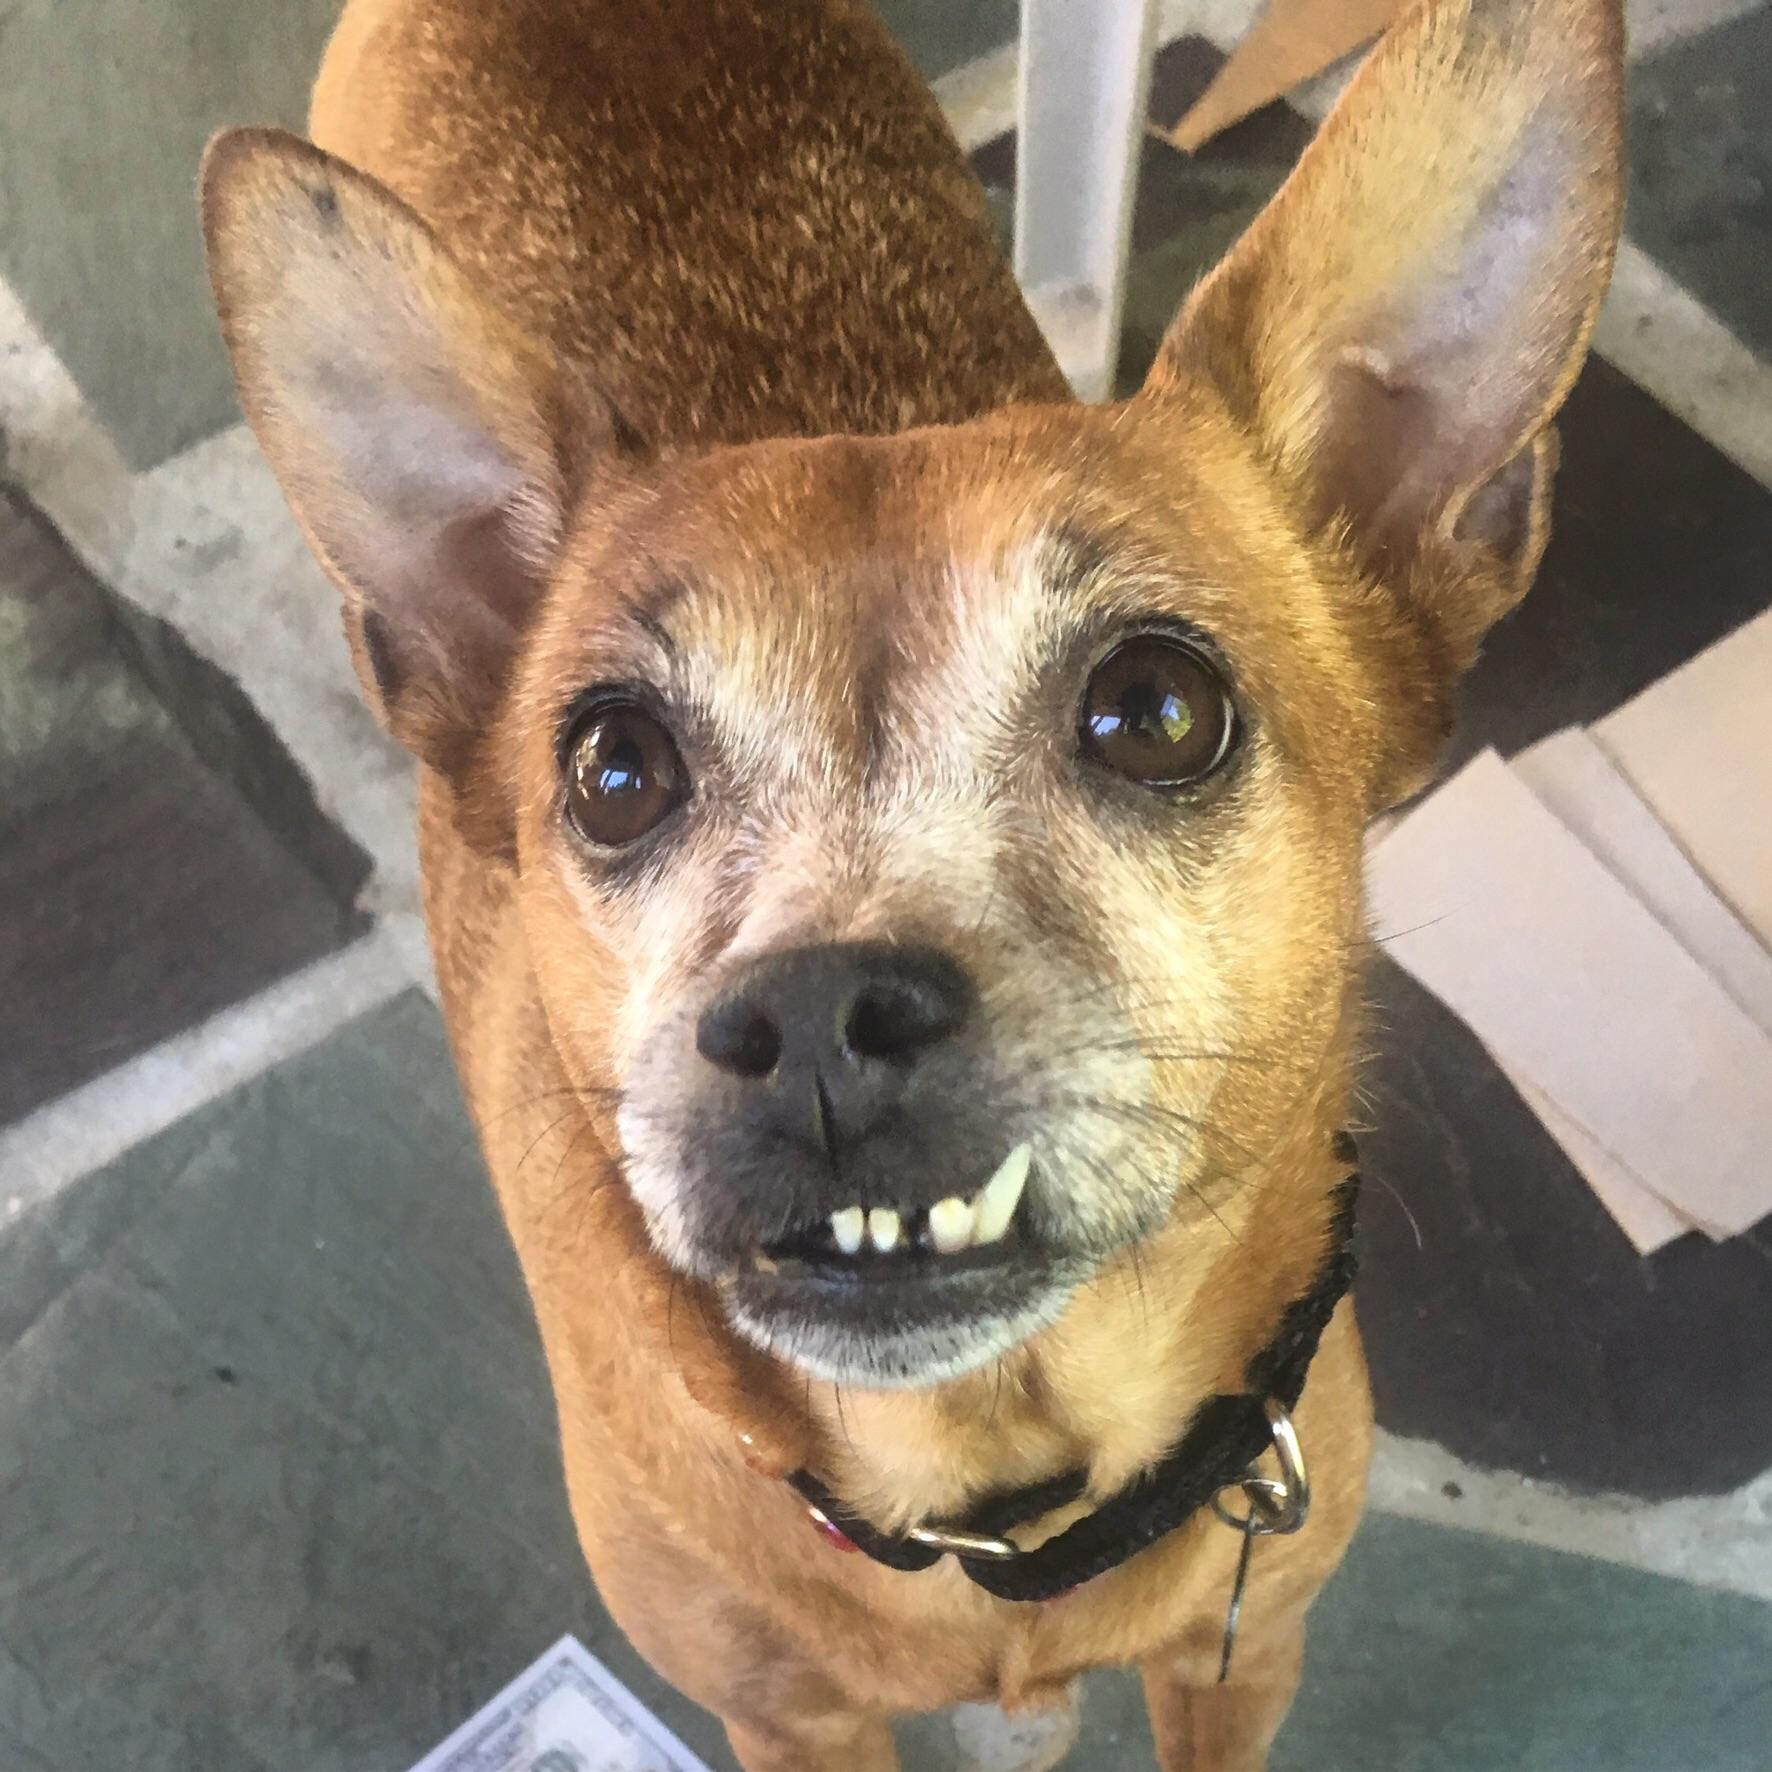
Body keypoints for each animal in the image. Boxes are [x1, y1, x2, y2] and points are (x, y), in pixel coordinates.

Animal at [197, 6, 1623, 1764]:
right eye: (614, 768)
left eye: (1158, 710)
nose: (812, 1015)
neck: (993, 1494)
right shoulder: (789, 1724)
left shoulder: (1244, 1661)